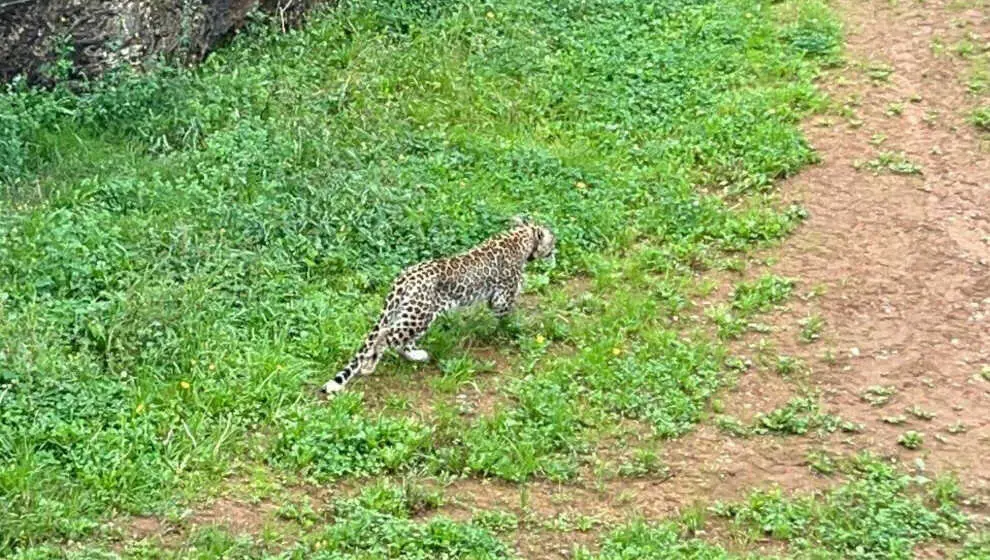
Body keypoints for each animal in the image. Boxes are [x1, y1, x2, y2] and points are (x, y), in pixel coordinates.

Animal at [320, 217, 556, 396]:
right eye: (552, 242)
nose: (556, 251)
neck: (521, 238)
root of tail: (403, 279)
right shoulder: (502, 297)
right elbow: (508, 314)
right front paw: (518, 326)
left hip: (411, 313)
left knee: (399, 341)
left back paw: (417, 355)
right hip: (419, 315)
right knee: (386, 335)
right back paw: (370, 366)